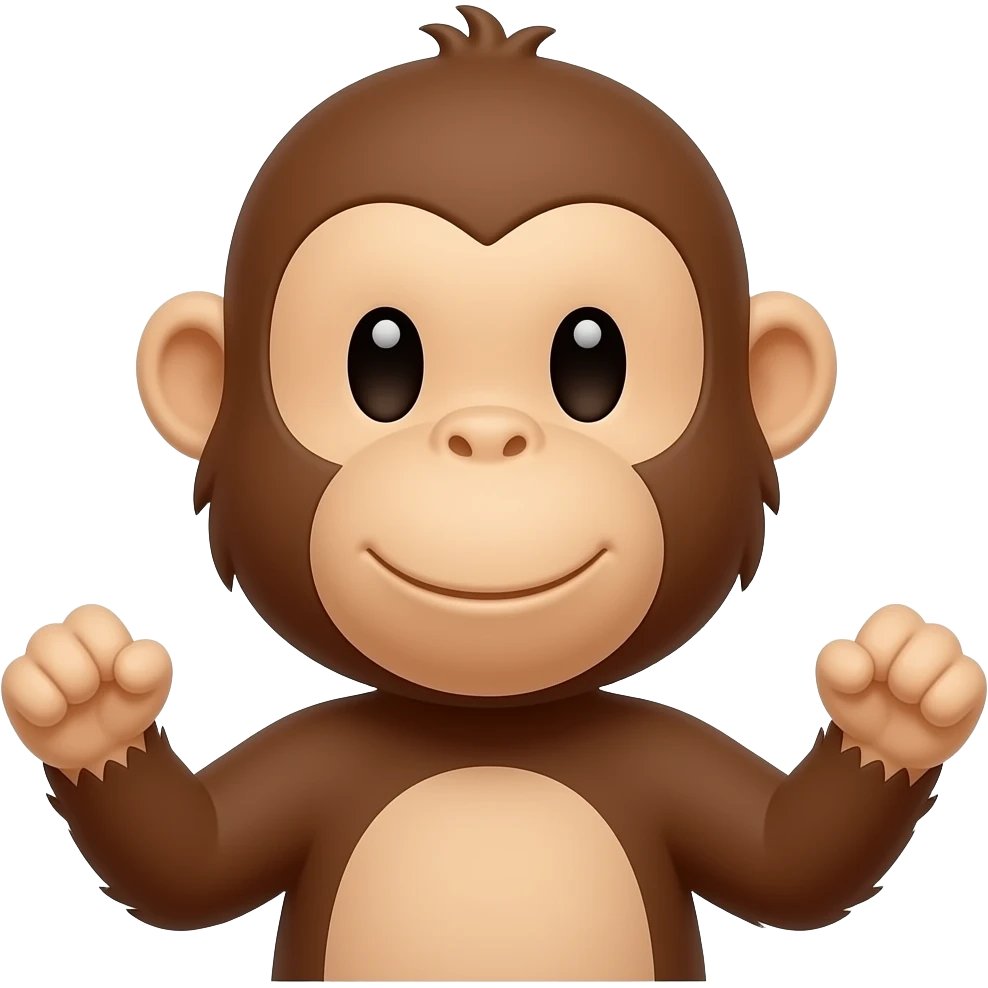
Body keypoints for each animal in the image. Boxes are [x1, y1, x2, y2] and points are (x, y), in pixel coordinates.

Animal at [1, 5, 985, 983]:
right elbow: (192, 865)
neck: (488, 737)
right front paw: (87, 698)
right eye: (382, 357)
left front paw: (900, 696)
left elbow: (787, 864)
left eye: (592, 358)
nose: (485, 436)